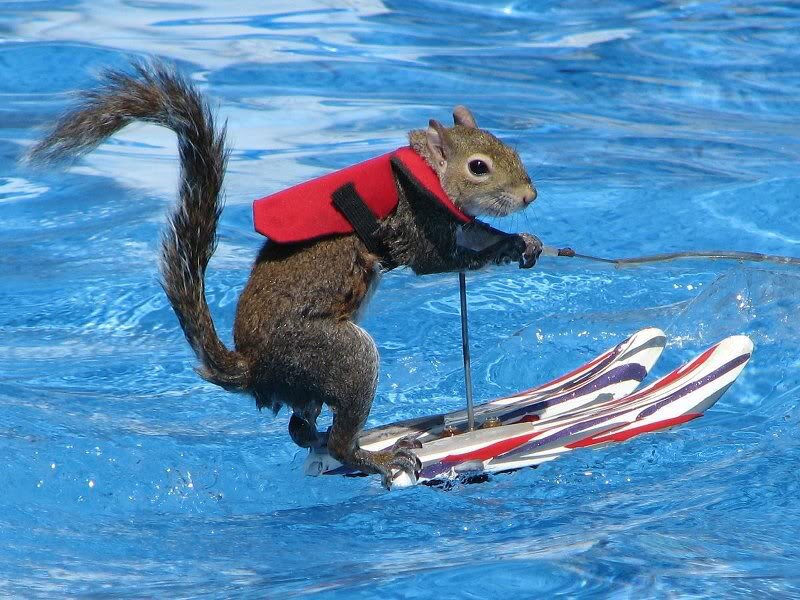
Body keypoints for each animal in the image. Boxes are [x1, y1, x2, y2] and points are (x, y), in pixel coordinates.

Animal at [27, 61, 542, 487]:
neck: (419, 172)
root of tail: (253, 368)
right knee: (338, 435)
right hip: (338, 356)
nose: (529, 196)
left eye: (511, 148)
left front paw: (523, 241)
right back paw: (377, 455)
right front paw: (504, 245)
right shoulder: (411, 225)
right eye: (479, 167)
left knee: (299, 430)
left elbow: (473, 233)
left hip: (308, 384)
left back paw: (334, 442)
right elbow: (442, 259)